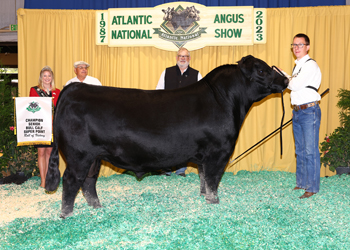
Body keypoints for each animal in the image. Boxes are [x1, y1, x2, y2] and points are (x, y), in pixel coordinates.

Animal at [45, 54, 288, 217]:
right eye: (262, 71)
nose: (285, 81)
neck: (225, 100)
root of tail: (74, 88)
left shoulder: (204, 155)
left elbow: (203, 177)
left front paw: (204, 196)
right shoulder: (219, 151)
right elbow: (213, 179)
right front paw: (213, 201)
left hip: (95, 157)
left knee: (88, 181)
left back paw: (96, 207)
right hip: (79, 155)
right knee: (71, 180)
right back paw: (66, 214)